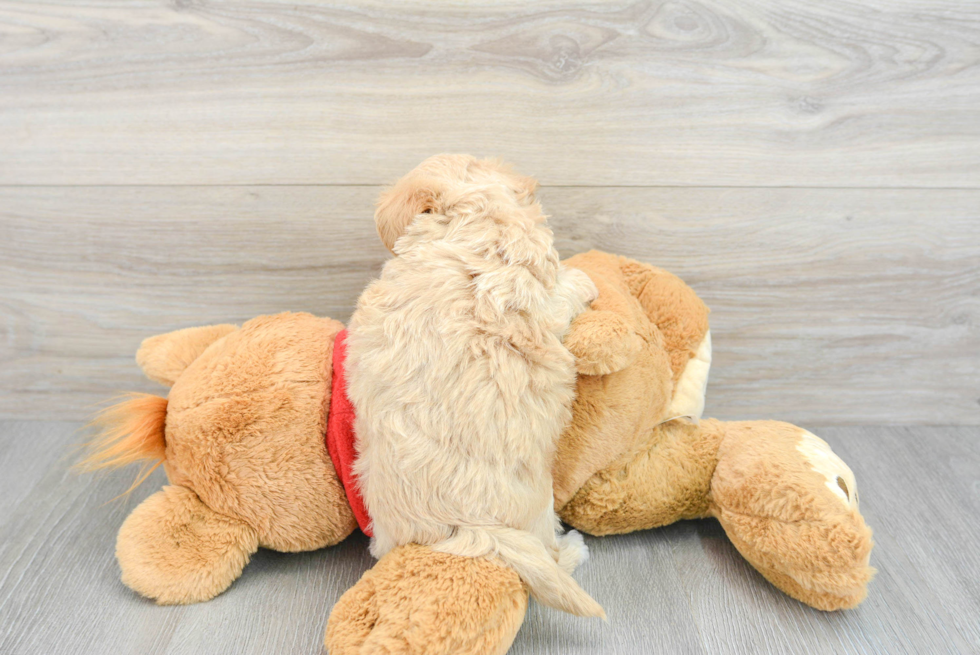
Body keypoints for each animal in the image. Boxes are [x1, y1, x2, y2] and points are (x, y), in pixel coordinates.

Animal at [344, 156, 604, 616]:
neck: (473, 223)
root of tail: (463, 527)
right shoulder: (542, 291)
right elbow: (564, 289)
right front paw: (584, 280)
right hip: (538, 511)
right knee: (550, 554)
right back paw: (574, 548)